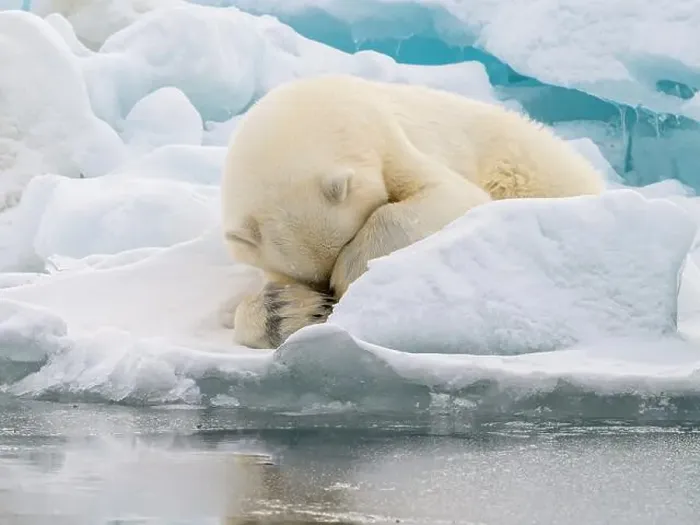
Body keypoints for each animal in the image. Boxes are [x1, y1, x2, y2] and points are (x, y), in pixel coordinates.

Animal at [220, 74, 605, 349]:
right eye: (305, 279)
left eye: (346, 244)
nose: (330, 300)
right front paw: (289, 309)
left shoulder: (386, 135)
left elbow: (452, 196)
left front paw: (350, 274)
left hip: (529, 167)